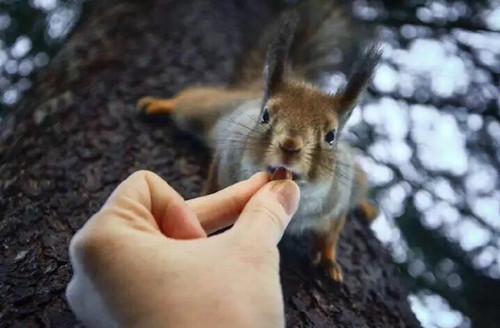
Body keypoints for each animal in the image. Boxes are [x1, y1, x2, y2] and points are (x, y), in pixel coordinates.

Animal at [137, 1, 378, 282]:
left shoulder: (337, 202)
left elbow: (330, 235)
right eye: (265, 116)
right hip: (206, 109)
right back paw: (160, 104)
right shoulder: (226, 156)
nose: (290, 146)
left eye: (331, 136)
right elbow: (214, 187)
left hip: (357, 177)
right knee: (188, 102)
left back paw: (366, 206)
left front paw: (330, 262)